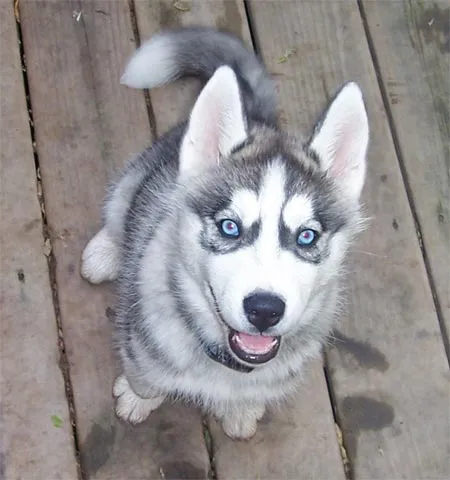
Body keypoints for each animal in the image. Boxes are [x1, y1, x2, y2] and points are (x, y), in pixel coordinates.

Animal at [81, 25, 370, 438]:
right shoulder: (139, 339)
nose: (264, 310)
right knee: (119, 210)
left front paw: (241, 410)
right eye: (229, 226)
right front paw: (137, 398)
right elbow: (146, 376)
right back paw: (105, 253)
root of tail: (257, 115)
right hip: (137, 179)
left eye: (307, 236)